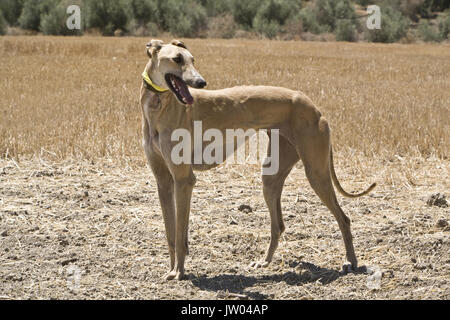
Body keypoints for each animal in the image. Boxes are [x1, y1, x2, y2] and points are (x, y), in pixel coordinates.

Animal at [141, 39, 376, 280]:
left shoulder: (184, 179)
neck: (160, 108)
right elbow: (171, 233)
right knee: (278, 224)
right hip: (271, 177)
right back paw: (264, 262)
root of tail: (316, 108)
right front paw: (172, 269)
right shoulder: (163, 181)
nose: (201, 82)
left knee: (343, 218)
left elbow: (180, 234)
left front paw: (179, 272)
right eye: (177, 59)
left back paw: (350, 262)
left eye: (192, 60)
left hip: (316, 172)